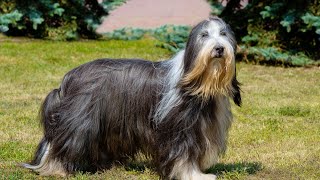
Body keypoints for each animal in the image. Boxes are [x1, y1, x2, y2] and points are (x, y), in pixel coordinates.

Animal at [23, 16, 241, 179]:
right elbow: (184, 155)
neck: (199, 80)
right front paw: (194, 175)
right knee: (63, 142)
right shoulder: (179, 128)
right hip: (80, 120)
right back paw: (56, 169)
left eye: (223, 34)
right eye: (204, 35)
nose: (219, 48)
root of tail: (69, 77)